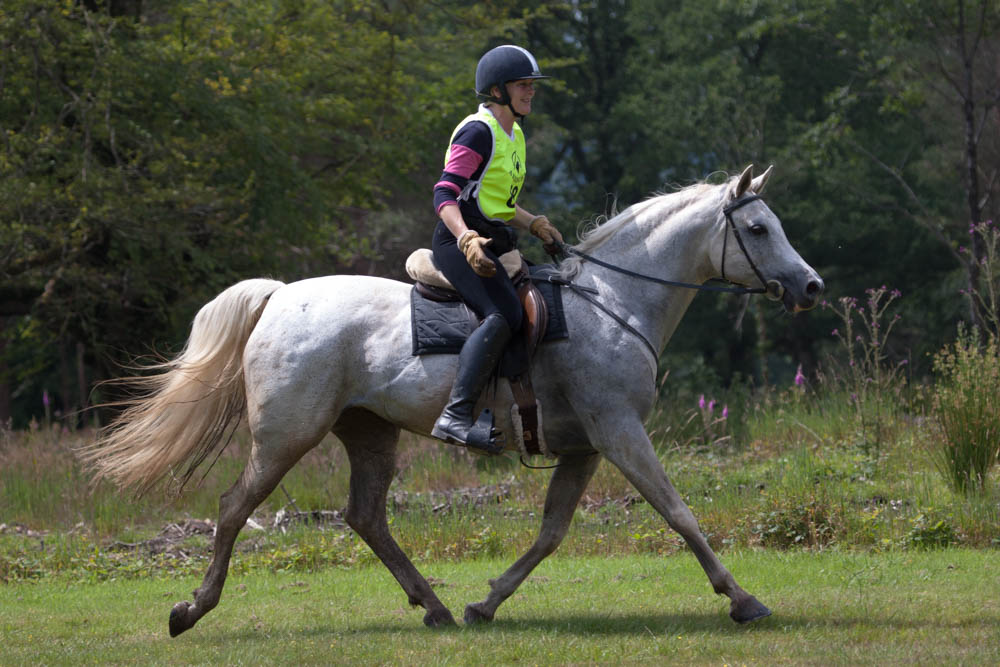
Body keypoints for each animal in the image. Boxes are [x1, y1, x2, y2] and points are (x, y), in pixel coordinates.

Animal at [82, 166, 824, 636]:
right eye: (759, 229)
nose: (811, 286)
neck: (613, 303)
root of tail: (280, 296)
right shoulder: (618, 431)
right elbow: (678, 512)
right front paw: (743, 598)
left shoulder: (585, 446)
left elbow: (551, 532)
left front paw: (486, 603)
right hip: (286, 435)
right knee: (236, 508)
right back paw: (191, 610)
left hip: (370, 433)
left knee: (366, 516)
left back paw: (435, 607)